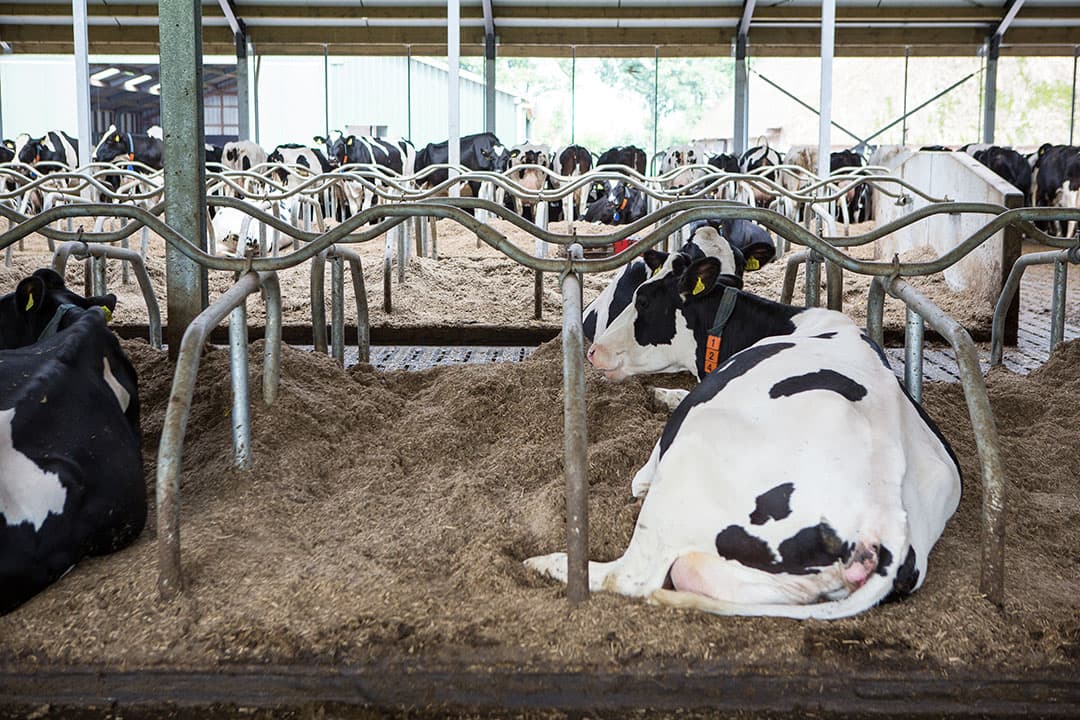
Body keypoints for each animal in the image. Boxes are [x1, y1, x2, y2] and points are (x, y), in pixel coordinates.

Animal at [527, 253, 962, 619]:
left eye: (645, 301)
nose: (593, 350)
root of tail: (885, 521)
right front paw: (662, 393)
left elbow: (645, 470)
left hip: (691, 457)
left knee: (633, 574)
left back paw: (550, 563)